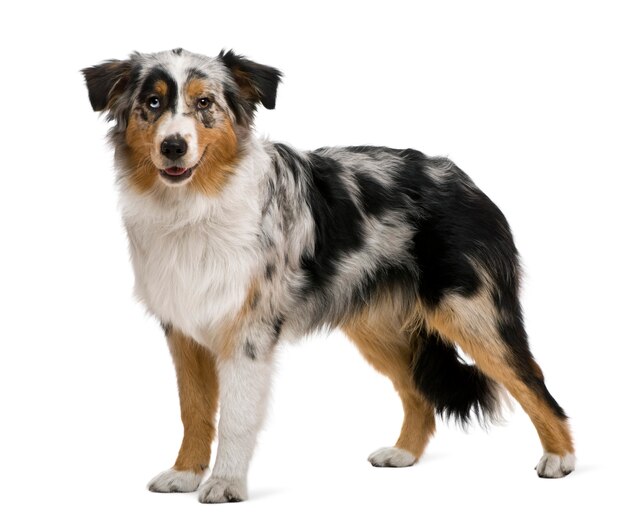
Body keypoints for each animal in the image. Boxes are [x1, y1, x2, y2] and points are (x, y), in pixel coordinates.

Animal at [81, 48, 572, 504]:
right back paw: (403, 453)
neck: (195, 206)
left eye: (205, 102)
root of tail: (466, 181)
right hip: (378, 328)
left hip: (472, 313)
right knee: (419, 394)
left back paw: (560, 458)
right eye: (152, 102)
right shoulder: (183, 329)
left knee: (532, 379)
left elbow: (236, 417)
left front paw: (225, 484)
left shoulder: (248, 334)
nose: (173, 146)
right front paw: (184, 474)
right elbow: (194, 409)